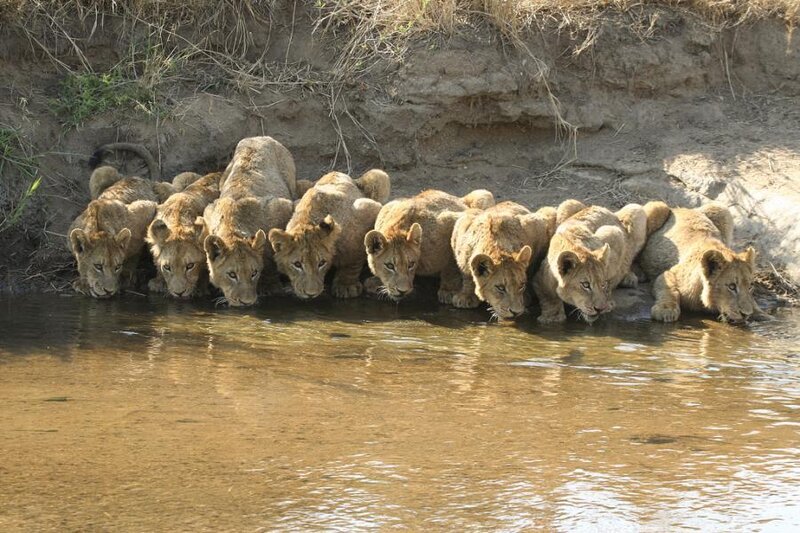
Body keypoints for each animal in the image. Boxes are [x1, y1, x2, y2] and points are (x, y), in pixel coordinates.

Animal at [68, 165, 158, 298]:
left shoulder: (147, 207)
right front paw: (83, 283)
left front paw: (125, 277)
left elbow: (134, 254)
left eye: (117, 267)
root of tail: (138, 177)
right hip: (100, 171)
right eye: (98, 266)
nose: (108, 291)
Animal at [200, 136, 298, 306]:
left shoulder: (281, 206)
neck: (231, 226)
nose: (247, 303)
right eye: (232, 274)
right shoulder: (208, 211)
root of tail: (259, 137)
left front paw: (271, 286)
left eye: (254, 273)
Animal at [269, 169, 391, 299]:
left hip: (379, 175)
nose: (311, 294)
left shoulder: (368, 210)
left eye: (321, 263)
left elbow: (352, 260)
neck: (307, 220)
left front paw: (346, 286)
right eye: (297, 264)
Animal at [364, 189, 495, 303]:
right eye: (389, 265)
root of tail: (459, 198)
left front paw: (448, 291)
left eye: (411, 264)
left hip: (483, 195)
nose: (402, 291)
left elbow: (451, 265)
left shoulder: (452, 221)